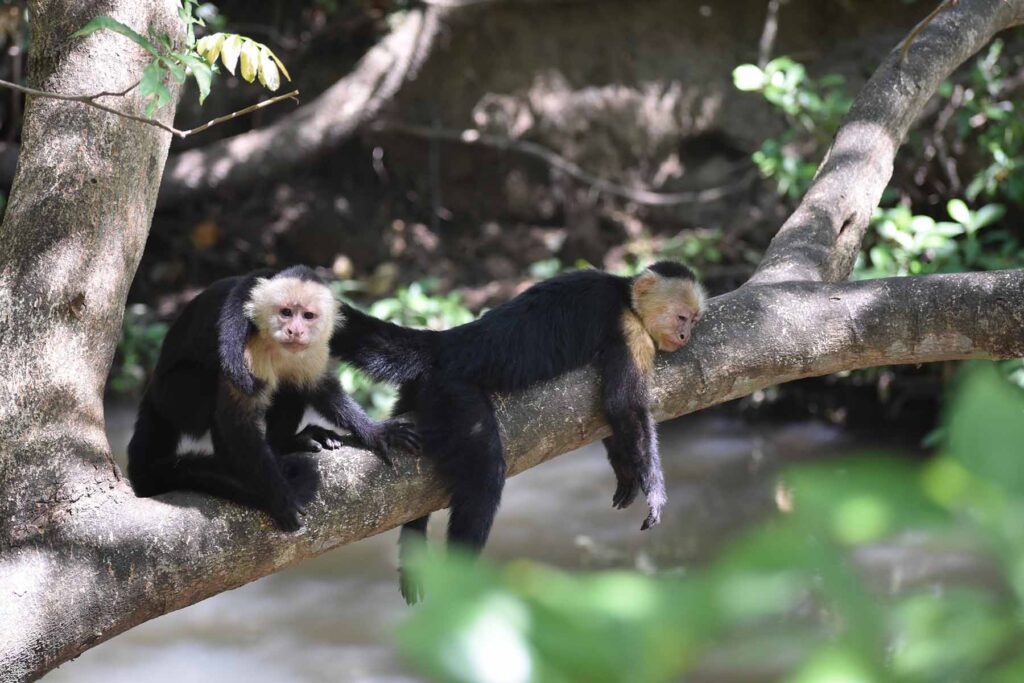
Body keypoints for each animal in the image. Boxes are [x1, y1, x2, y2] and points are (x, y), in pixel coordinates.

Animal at [127, 265, 419, 531]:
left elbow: (319, 387)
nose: (294, 331)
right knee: (213, 389)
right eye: (286, 312)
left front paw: (375, 431)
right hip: (173, 396)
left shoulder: (315, 347)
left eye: (308, 316)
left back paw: (287, 442)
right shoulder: (246, 346)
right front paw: (279, 496)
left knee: (291, 385)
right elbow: (237, 418)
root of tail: (151, 391)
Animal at [325, 261, 705, 602]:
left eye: (694, 319)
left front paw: (625, 471)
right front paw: (654, 489)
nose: (685, 336)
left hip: (420, 391)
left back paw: (412, 545)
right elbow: (624, 406)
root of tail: (446, 343)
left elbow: (613, 415)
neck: (626, 295)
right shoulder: (628, 329)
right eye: (682, 317)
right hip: (452, 391)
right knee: (485, 476)